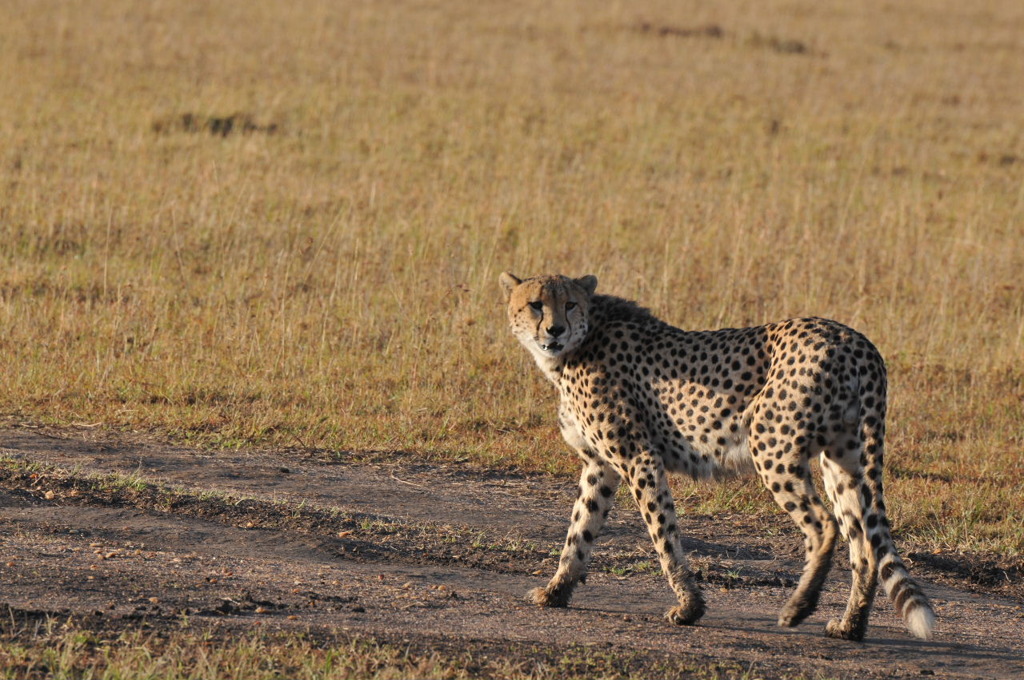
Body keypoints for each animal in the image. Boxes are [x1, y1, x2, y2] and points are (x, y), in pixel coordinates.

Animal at [497, 272, 937, 643]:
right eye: (536, 304)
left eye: (570, 304)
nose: (554, 330)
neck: (582, 341)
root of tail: (852, 338)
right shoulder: (600, 466)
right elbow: (580, 531)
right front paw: (556, 591)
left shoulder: (639, 458)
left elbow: (663, 535)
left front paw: (688, 607)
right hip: (841, 458)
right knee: (862, 540)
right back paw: (850, 625)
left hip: (771, 445)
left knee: (824, 525)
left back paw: (799, 607)